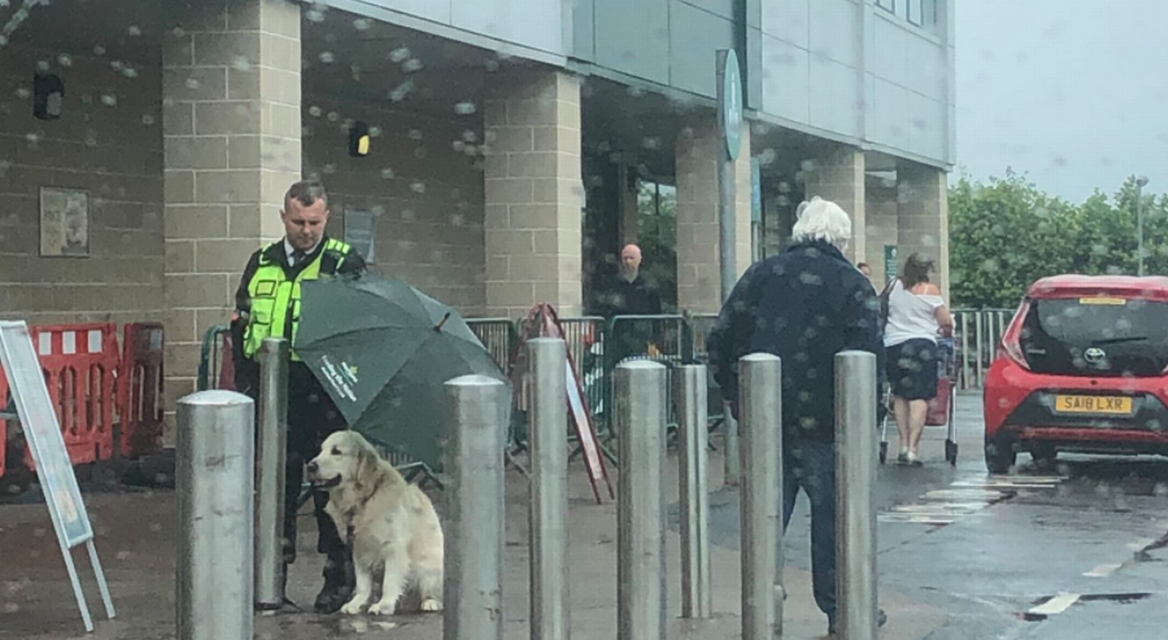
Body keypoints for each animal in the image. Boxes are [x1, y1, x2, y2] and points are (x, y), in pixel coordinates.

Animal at [306, 429, 441, 616]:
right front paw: (356, 603)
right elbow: (363, 583)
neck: (363, 500)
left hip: (428, 564)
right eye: (321, 450)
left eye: (336, 451)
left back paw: (430, 602)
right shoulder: (358, 548)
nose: (310, 466)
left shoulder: (393, 547)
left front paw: (384, 605)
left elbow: (389, 581)